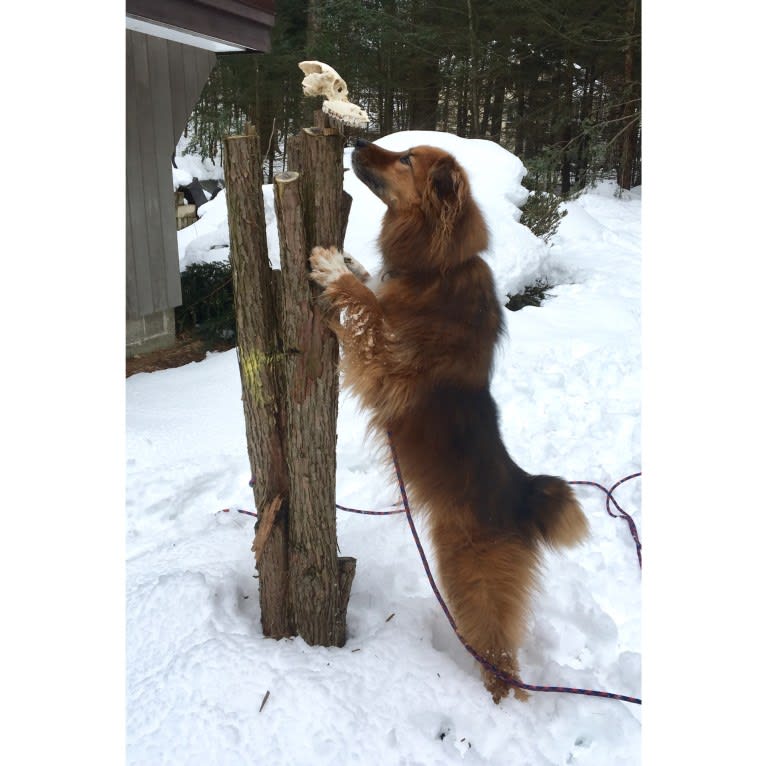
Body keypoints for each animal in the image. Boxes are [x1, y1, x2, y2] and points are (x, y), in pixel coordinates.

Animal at [308, 136, 592, 704]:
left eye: (405, 160)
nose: (356, 141)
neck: (436, 269)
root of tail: (520, 495)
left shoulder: (386, 359)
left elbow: (364, 302)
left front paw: (333, 269)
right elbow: (371, 286)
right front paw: (350, 260)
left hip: (469, 578)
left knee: (501, 657)